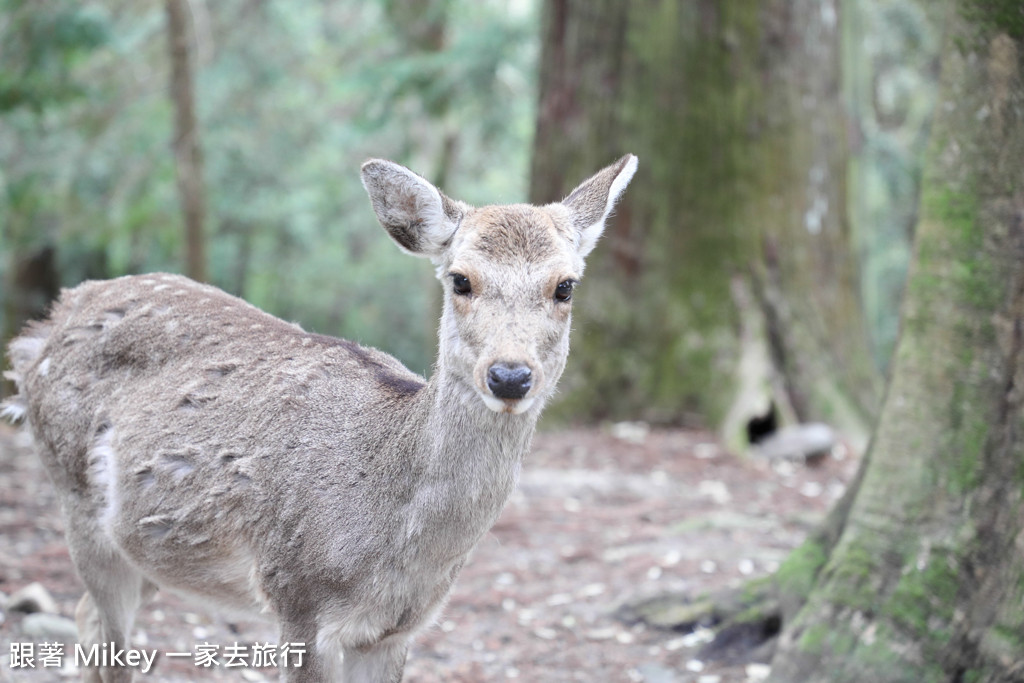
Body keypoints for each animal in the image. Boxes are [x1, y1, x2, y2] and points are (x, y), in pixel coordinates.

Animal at [4, 156, 634, 683]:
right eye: (460, 279)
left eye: (565, 286)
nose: (509, 375)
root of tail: (41, 330)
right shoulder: (296, 595)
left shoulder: (396, 630)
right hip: (76, 503)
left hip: (148, 549)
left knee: (87, 619)